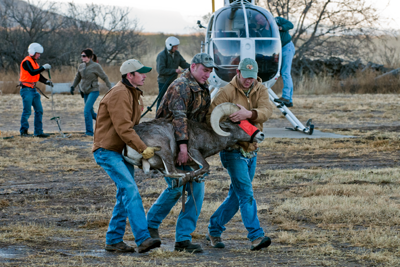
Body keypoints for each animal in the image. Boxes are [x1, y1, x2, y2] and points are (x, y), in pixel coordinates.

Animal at [123, 103, 264, 188]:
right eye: (239, 122)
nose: (261, 134)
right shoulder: (193, 151)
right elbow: (206, 167)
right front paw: (196, 176)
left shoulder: (192, 162)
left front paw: (198, 177)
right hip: (165, 150)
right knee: (171, 171)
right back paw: (187, 176)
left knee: (167, 172)